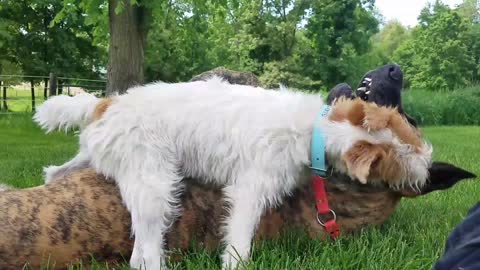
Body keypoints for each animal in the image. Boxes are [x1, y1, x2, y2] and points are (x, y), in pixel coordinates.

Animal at [0, 65, 474, 268]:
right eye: (407, 154)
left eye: (410, 128)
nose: (432, 167)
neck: (317, 132)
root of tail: (103, 103)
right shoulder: (251, 190)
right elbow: (240, 242)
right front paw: (235, 263)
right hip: (156, 188)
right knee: (144, 255)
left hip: (97, 161)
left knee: (52, 174)